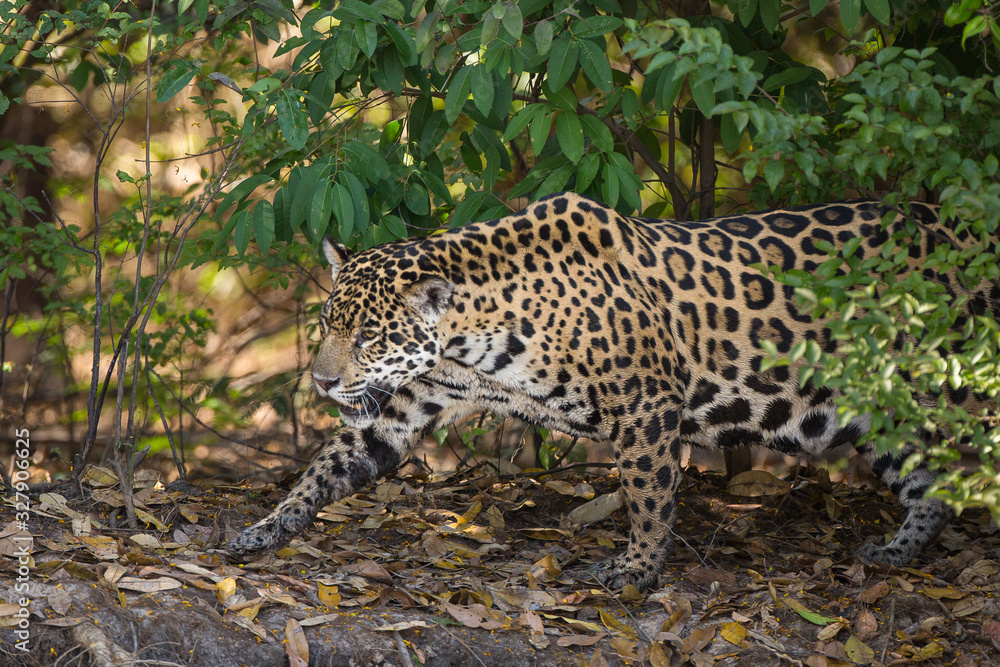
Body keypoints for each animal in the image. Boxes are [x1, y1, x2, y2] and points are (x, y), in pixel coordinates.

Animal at [228, 192, 996, 591]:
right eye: (327, 326)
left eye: (370, 337)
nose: (324, 379)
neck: (474, 342)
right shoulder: (403, 410)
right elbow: (325, 469)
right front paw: (264, 528)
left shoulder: (647, 404)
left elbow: (650, 496)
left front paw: (635, 571)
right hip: (890, 411)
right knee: (930, 486)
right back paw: (897, 553)